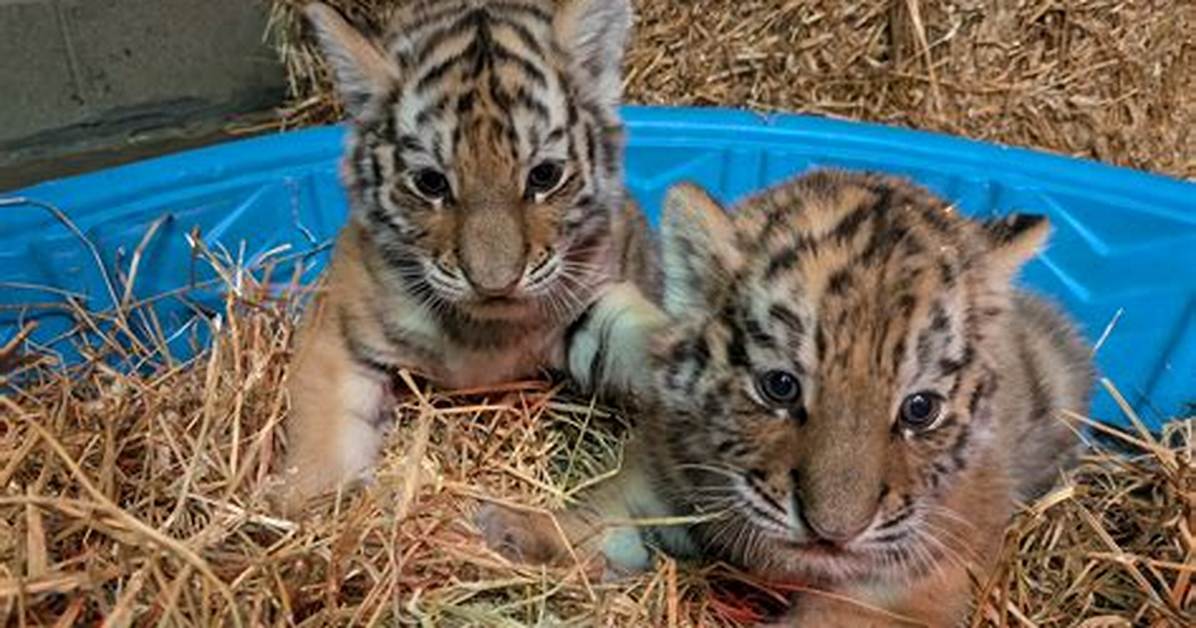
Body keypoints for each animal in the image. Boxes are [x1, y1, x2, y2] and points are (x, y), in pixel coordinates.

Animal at [278, 0, 664, 512]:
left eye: (544, 176)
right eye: (431, 183)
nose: (495, 283)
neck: (490, 331)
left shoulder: (590, 298)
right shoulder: (340, 328)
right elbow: (322, 432)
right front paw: (306, 510)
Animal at [477, 170, 1094, 626]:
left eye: (920, 409)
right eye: (780, 385)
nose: (833, 533)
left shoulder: (905, 589)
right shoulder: (655, 485)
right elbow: (588, 522)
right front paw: (502, 526)